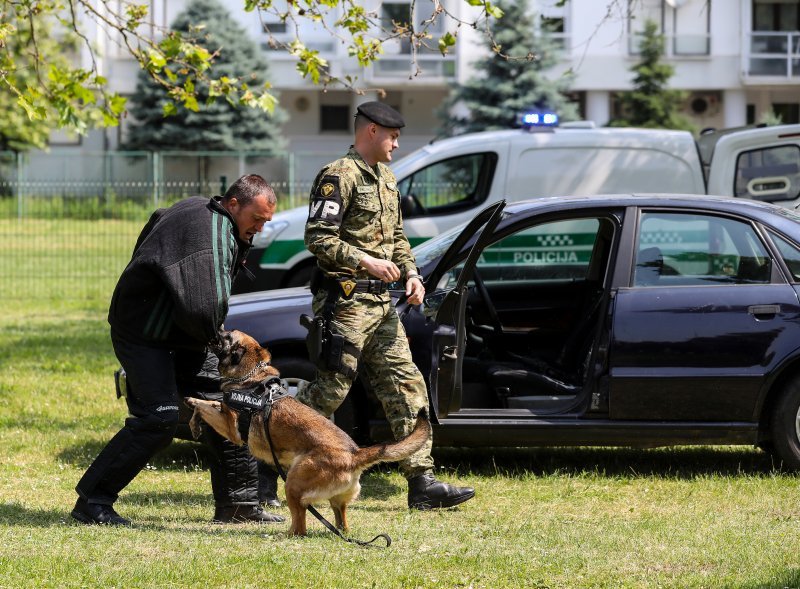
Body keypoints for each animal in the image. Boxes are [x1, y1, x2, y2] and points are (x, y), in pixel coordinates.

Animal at [184, 328, 432, 536]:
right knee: (341, 522)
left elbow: (207, 406)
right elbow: (208, 404)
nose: (214, 329)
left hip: (293, 484)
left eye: (226, 336)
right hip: (334, 500)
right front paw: (193, 416)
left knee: (300, 526)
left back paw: (285, 535)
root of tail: (355, 454)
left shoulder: (231, 429)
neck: (251, 377)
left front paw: (192, 407)